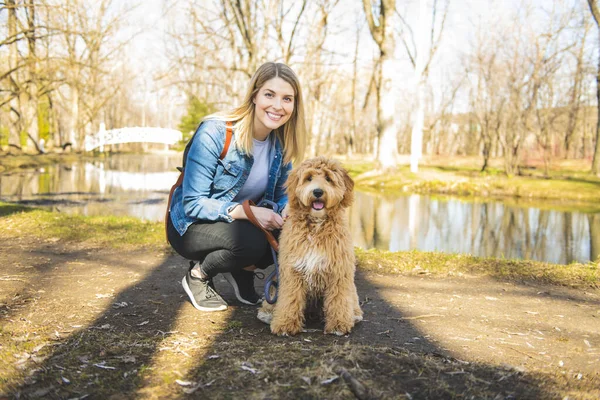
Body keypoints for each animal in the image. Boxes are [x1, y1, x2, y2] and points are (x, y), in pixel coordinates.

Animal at [256, 156, 360, 334]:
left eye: (328, 178)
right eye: (309, 178)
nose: (317, 192)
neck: (317, 225)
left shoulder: (339, 271)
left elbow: (338, 299)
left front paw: (338, 324)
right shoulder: (291, 270)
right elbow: (290, 298)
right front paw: (285, 323)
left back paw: (355, 314)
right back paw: (267, 313)